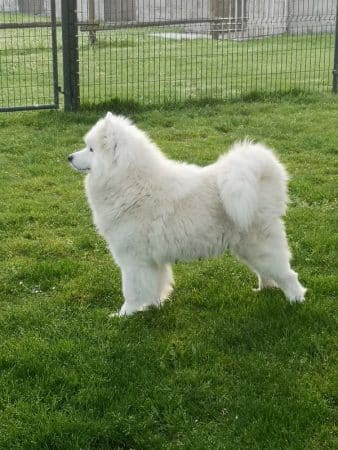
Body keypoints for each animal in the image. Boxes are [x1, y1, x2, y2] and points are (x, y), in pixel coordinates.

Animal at [68, 112, 306, 316]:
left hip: (259, 247)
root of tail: (265, 179)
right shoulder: (152, 260)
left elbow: (132, 291)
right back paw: (264, 289)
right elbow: (156, 284)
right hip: (248, 250)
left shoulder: (133, 260)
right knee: (267, 273)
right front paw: (154, 305)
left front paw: (125, 314)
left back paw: (296, 300)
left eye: (91, 149)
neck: (131, 183)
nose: (69, 157)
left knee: (288, 274)